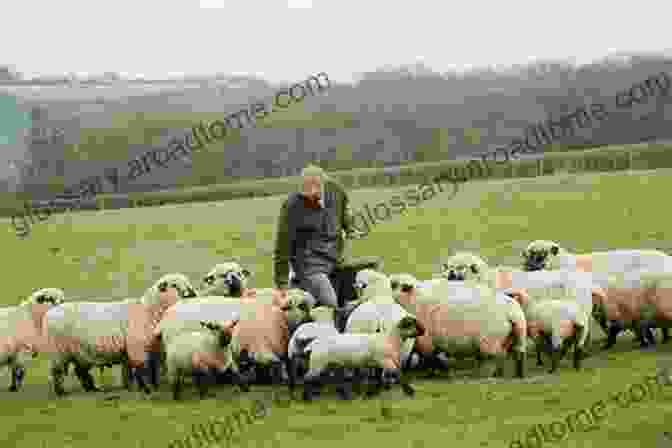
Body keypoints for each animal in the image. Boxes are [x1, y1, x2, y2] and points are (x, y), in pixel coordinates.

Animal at [40, 272, 194, 396]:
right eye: (174, 285)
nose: (192, 294)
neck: (149, 311)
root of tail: (50, 313)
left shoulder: (153, 350)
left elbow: (148, 371)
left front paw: (140, 387)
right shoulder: (137, 349)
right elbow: (142, 370)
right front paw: (146, 389)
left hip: (80, 353)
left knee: (80, 371)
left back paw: (91, 388)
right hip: (58, 352)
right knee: (57, 372)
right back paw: (61, 392)